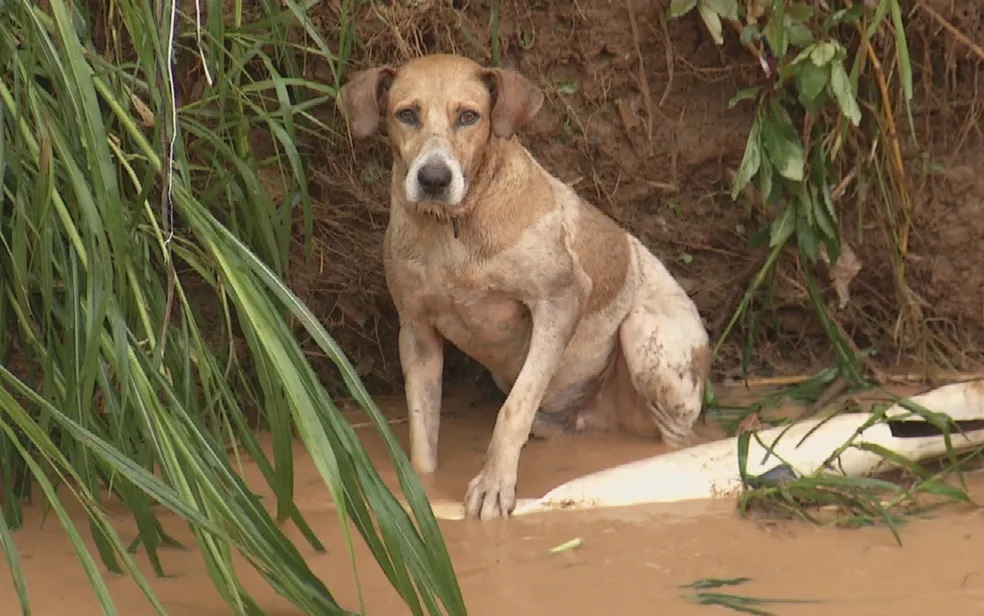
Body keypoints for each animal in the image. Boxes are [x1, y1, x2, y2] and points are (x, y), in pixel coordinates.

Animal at [338, 53, 708, 520]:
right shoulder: (416, 331)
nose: (434, 179)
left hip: (647, 343)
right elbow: (423, 436)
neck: (454, 228)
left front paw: (494, 486)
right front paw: (425, 494)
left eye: (469, 116)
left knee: (677, 439)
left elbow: (514, 409)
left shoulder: (560, 300)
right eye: (406, 114)